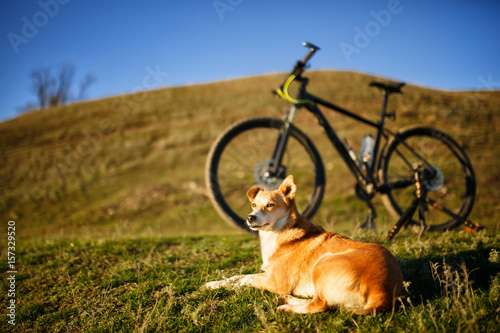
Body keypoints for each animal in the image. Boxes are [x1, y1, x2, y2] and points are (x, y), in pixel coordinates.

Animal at [205, 175, 404, 312]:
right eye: (254, 205)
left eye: (269, 205)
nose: (250, 217)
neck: (277, 234)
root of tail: (383, 292)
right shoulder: (269, 275)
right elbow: (238, 276)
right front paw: (215, 284)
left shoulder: (276, 283)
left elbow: (246, 278)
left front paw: (234, 287)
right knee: (320, 301)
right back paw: (288, 300)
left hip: (322, 263)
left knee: (319, 306)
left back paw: (287, 307)